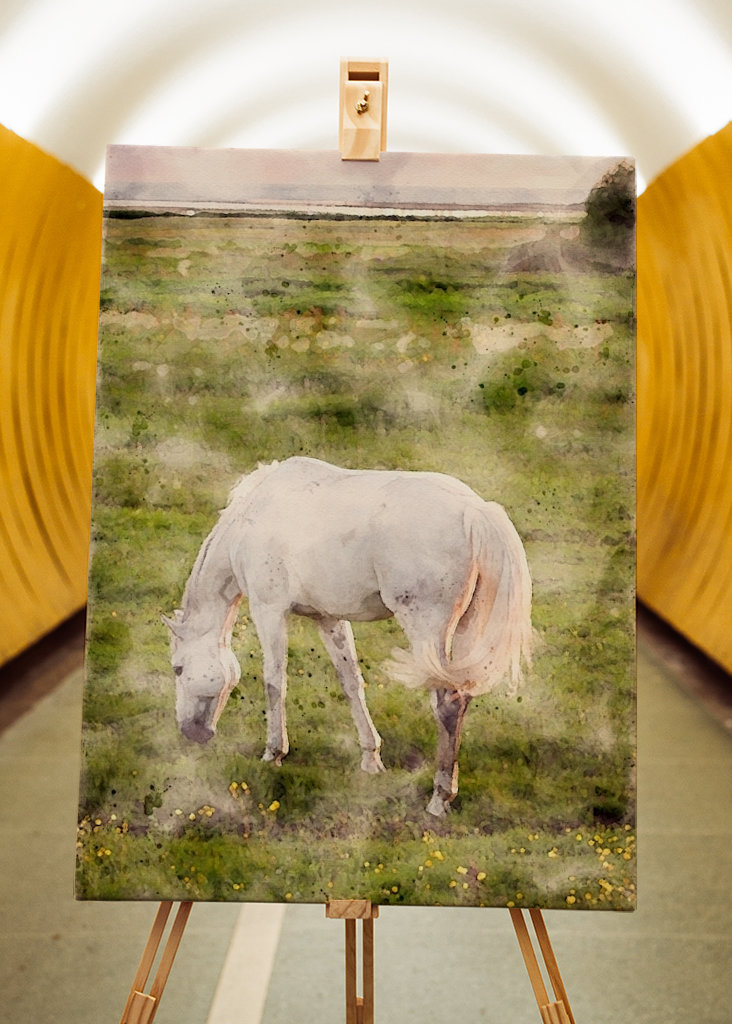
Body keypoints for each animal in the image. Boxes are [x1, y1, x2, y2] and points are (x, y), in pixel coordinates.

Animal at [163, 456, 532, 816]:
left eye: (178, 668)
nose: (190, 733)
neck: (254, 513)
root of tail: (475, 510)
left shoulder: (269, 610)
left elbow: (274, 681)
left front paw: (274, 753)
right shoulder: (329, 618)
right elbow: (351, 681)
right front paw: (371, 758)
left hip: (427, 631)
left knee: (447, 704)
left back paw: (439, 798)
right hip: (467, 632)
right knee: (463, 695)